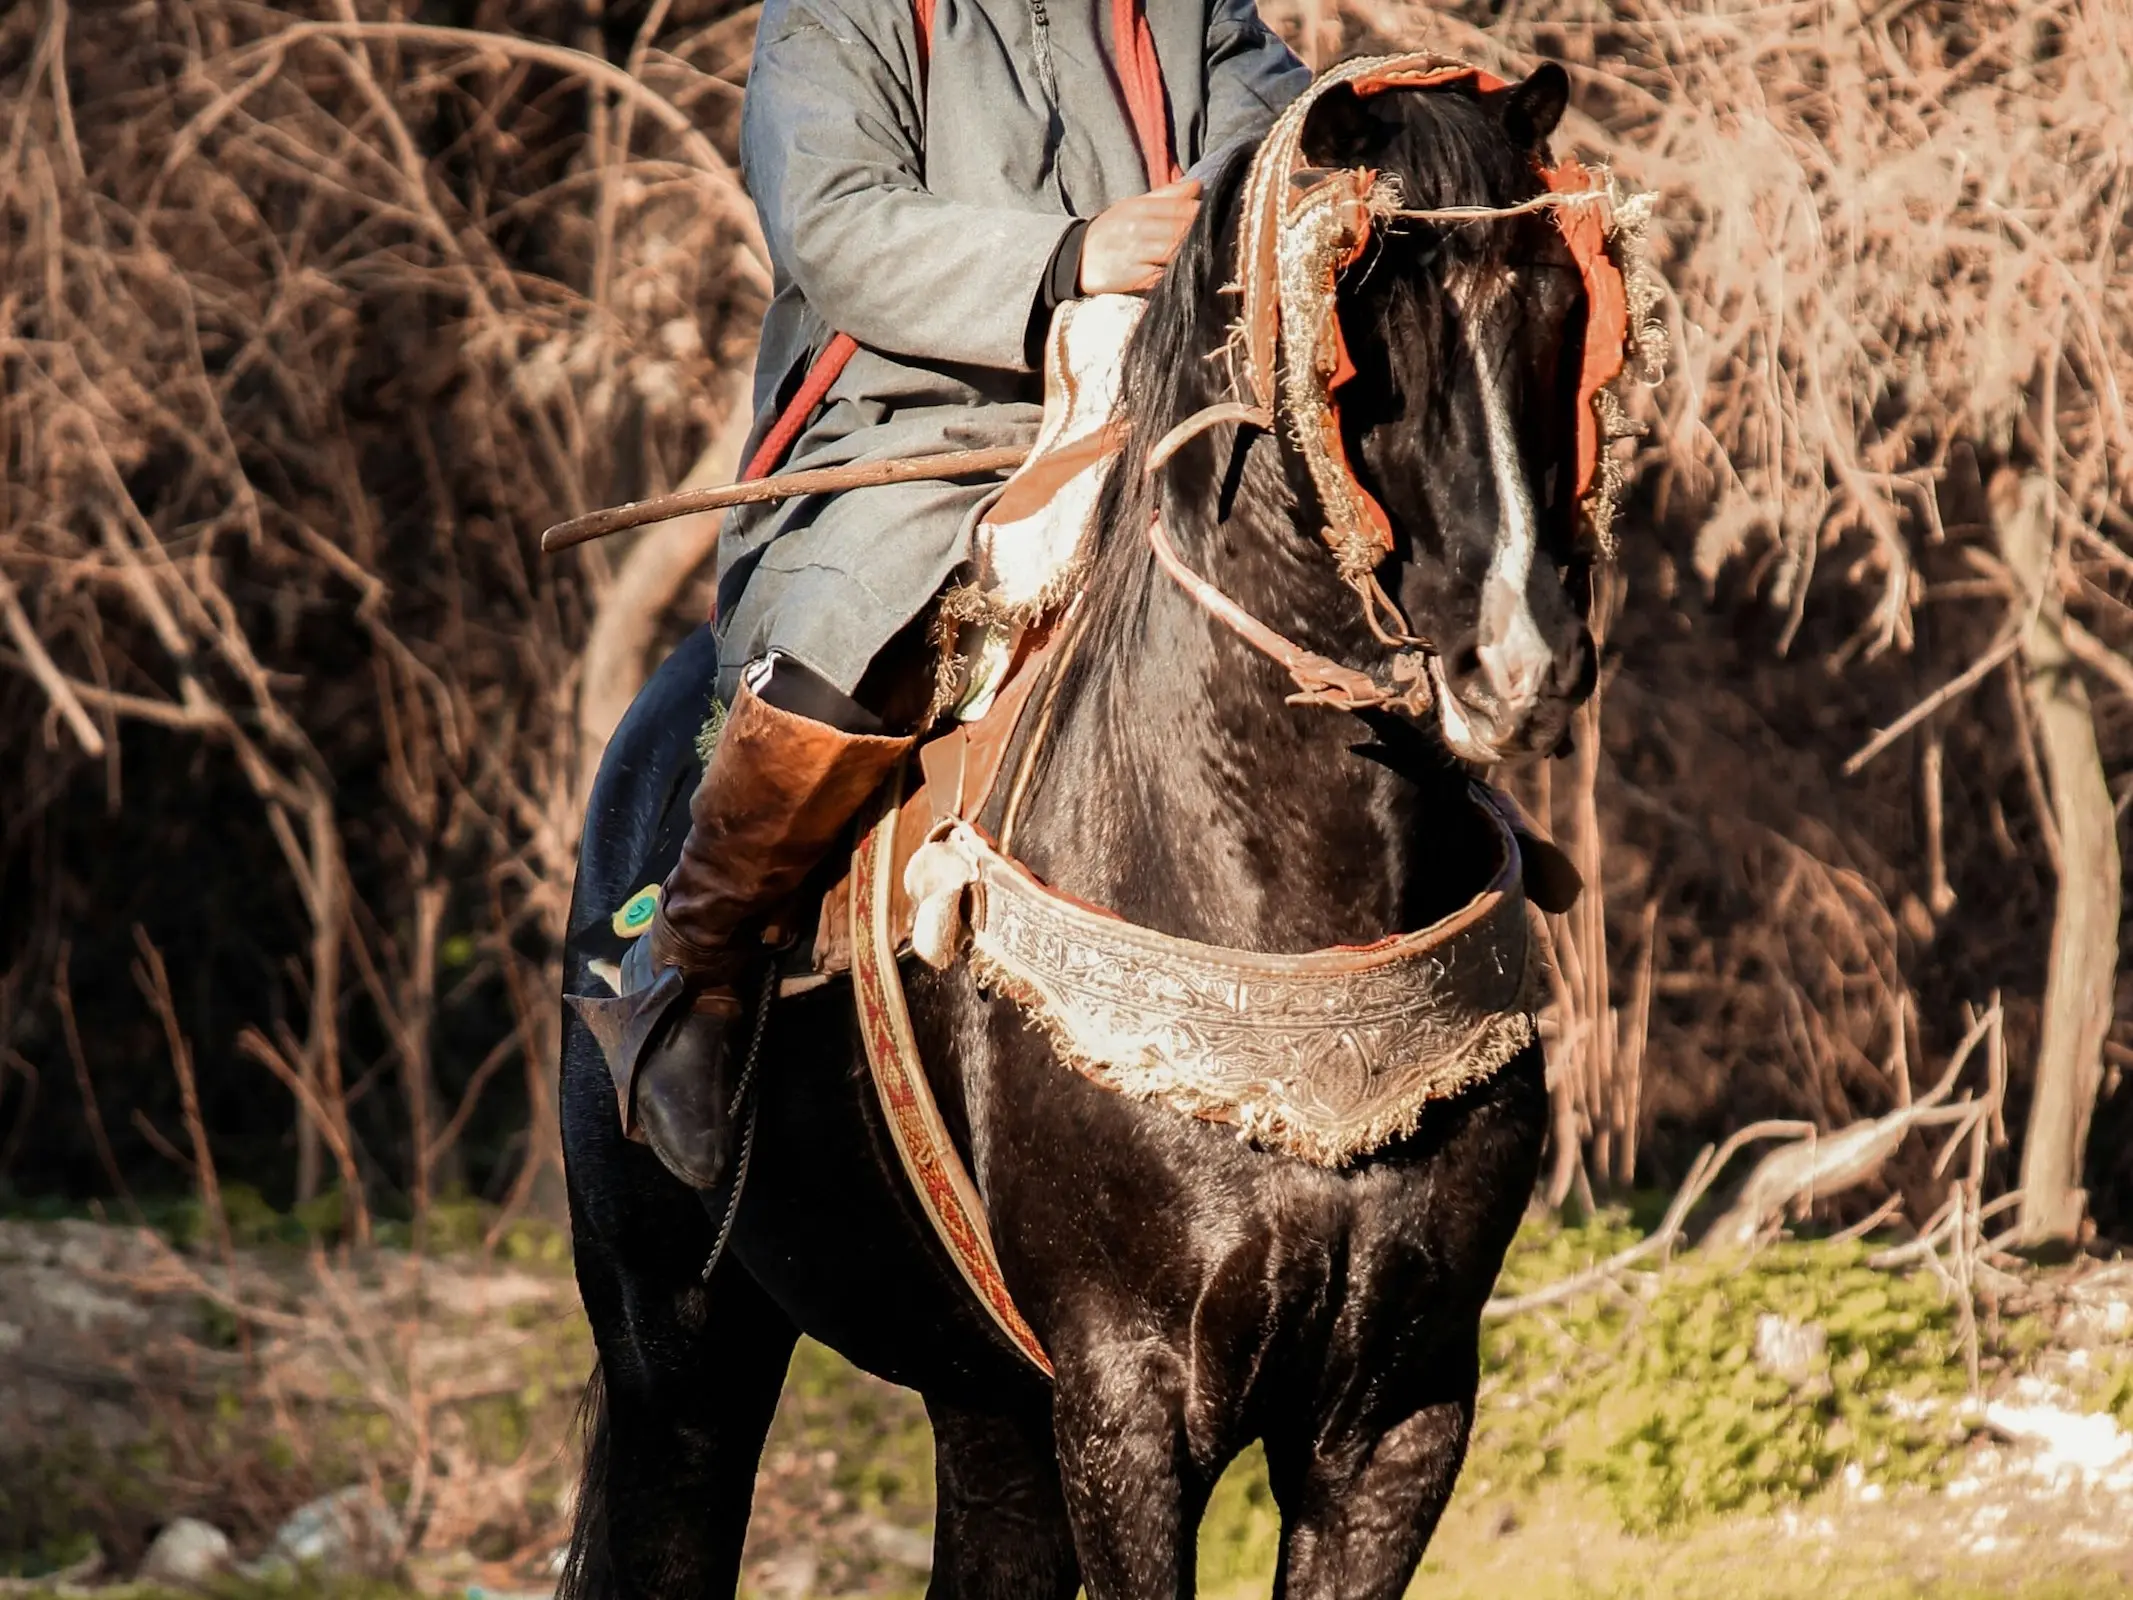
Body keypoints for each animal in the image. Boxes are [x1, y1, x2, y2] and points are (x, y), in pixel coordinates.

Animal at [567, 65, 1604, 1600]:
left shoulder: (1399, 1416)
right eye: (1364, 320)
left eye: (1559, 302)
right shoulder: (1130, 1402)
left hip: (983, 1400)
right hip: (676, 1358)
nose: (1520, 661)